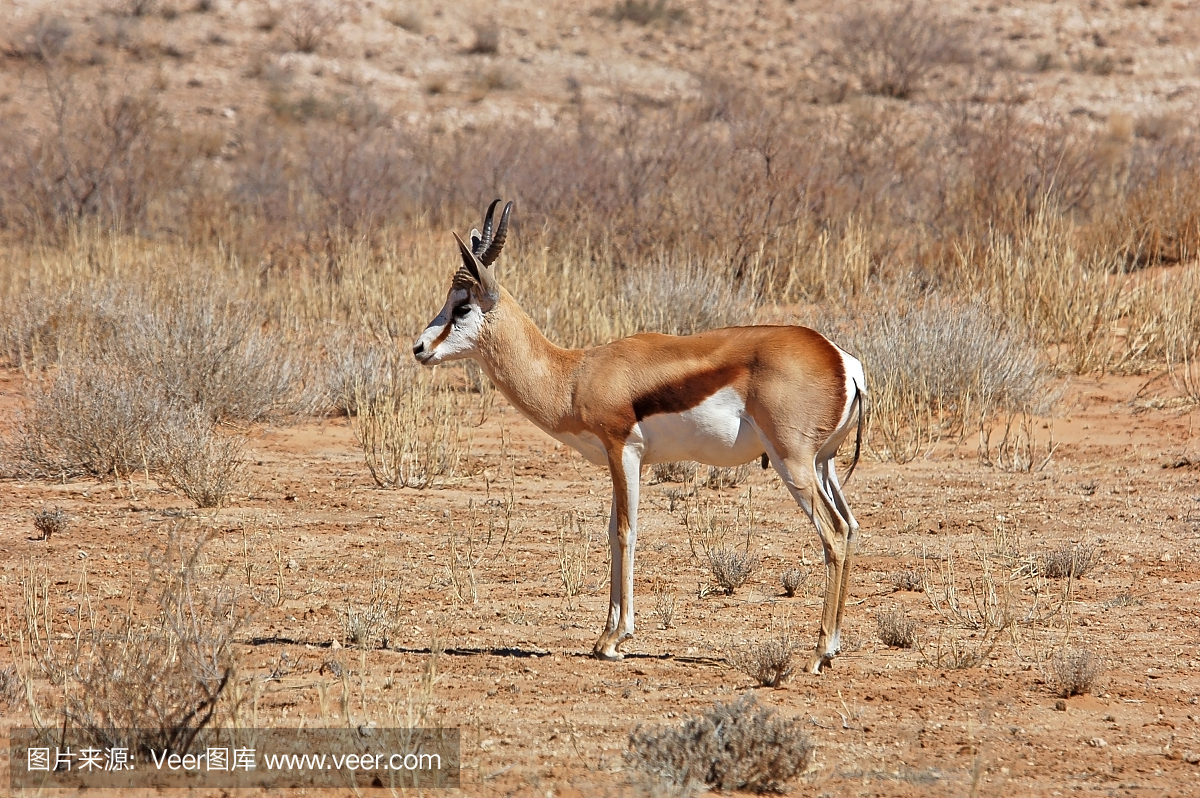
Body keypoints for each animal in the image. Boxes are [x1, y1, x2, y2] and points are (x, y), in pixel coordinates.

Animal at [412, 200, 864, 672]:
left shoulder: (623, 451)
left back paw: (817, 653)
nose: (419, 348)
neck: (574, 375)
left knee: (833, 533)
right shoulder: (626, 461)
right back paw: (832, 648)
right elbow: (613, 531)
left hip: (791, 461)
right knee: (851, 527)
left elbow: (627, 532)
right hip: (823, 463)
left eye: (462, 307)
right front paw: (603, 637)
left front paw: (616, 638)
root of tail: (842, 361)